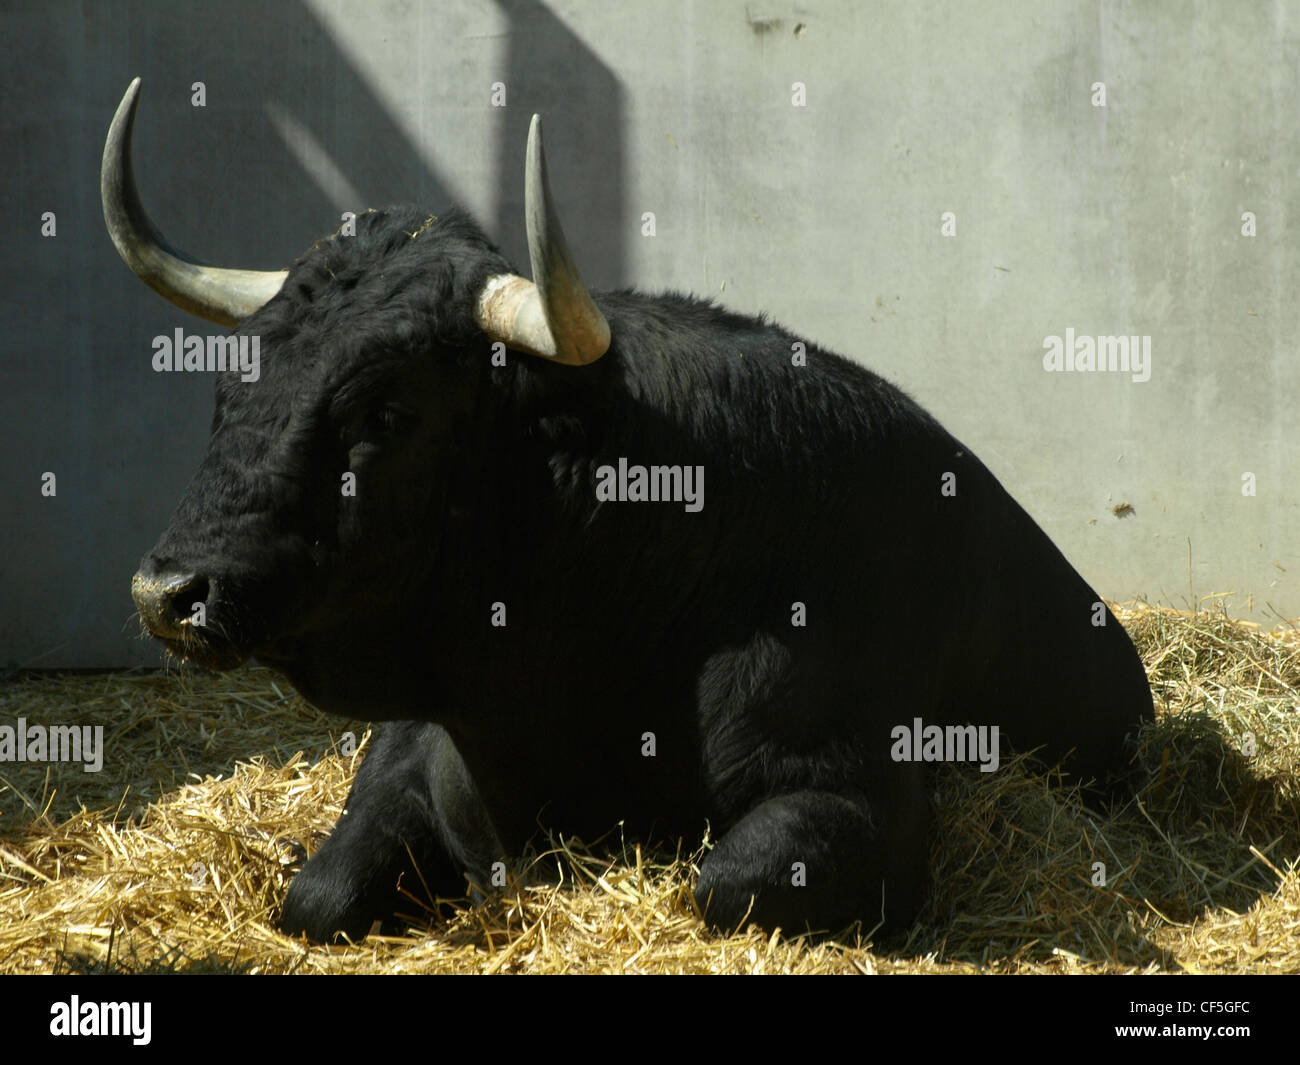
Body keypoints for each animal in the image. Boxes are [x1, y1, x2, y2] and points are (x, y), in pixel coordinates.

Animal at [106, 78, 1154, 936]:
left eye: (389, 411)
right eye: (229, 386)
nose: (168, 593)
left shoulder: (859, 798)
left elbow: (724, 883)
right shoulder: (406, 743)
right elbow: (317, 893)